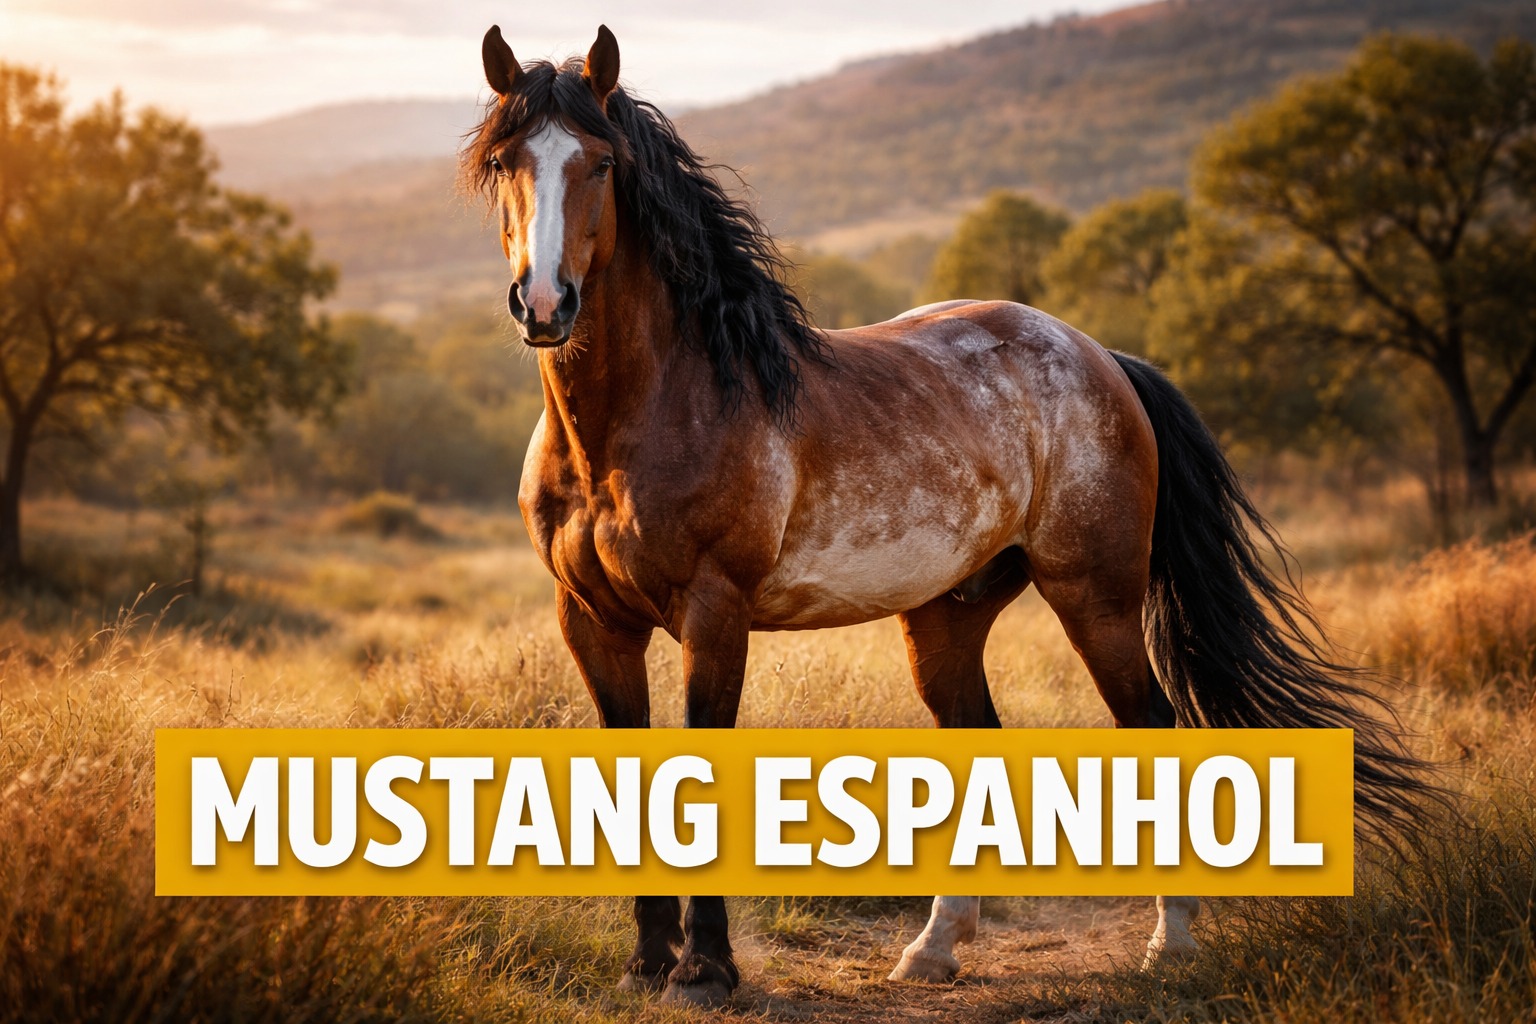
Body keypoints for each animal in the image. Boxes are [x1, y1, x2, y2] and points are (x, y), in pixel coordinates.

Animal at [461, 23, 1429, 1007]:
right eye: (504, 160)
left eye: (602, 163)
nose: (545, 303)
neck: (644, 416)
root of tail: (1103, 356)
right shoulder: (593, 621)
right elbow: (628, 782)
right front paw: (648, 962)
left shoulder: (714, 613)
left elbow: (698, 773)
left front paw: (705, 969)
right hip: (948, 613)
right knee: (977, 742)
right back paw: (932, 948)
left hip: (1097, 597)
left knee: (1152, 727)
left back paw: (1172, 944)